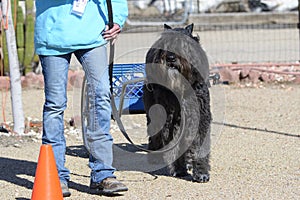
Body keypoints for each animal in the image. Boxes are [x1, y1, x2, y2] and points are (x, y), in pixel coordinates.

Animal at [142, 23, 211, 183]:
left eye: (183, 45)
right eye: (165, 44)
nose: (171, 57)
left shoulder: (200, 119)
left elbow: (199, 145)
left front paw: (201, 172)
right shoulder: (170, 120)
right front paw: (179, 169)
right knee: (154, 135)